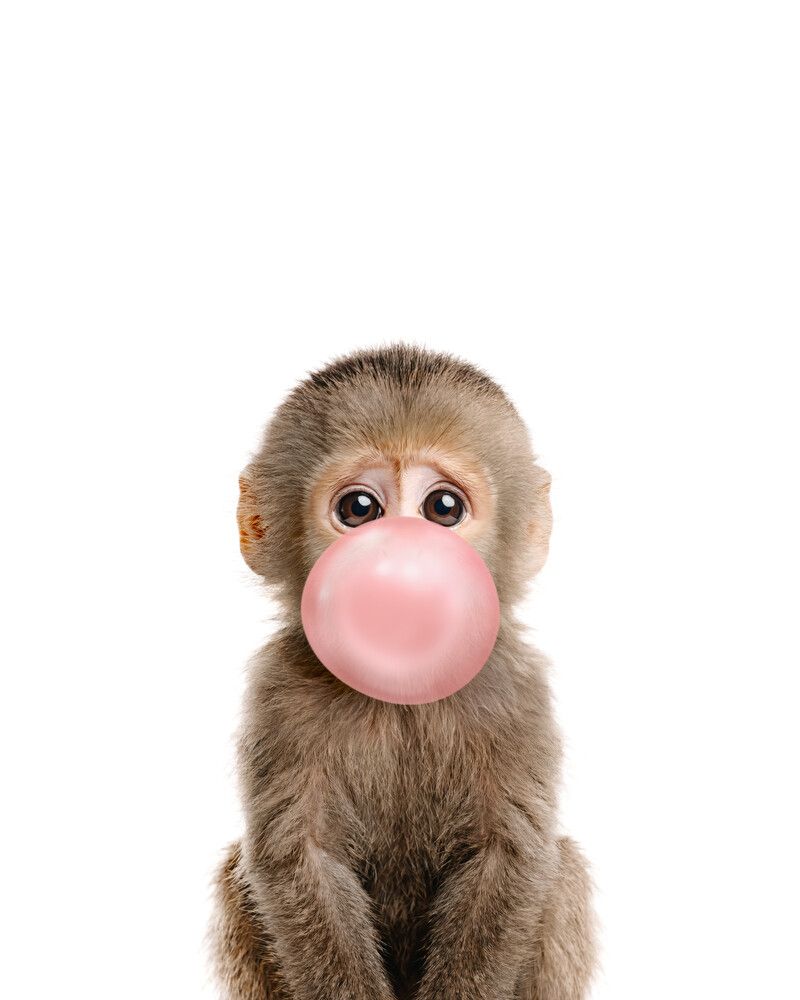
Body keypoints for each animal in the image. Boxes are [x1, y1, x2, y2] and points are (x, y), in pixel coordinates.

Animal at [210, 343, 597, 1000]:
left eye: (443, 508)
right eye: (359, 509)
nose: (400, 560)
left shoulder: (515, 689)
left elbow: (509, 855)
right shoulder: (280, 691)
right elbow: (299, 858)